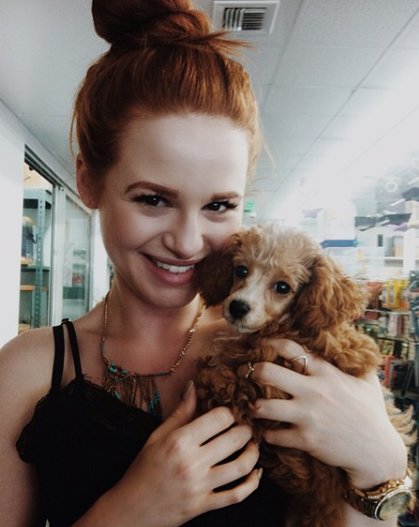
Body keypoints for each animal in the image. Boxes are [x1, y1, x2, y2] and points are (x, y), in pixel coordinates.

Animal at [194, 223, 415, 527]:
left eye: (282, 287)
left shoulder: (272, 380)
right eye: (241, 270)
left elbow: (234, 381)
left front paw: (208, 378)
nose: (238, 307)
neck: (286, 325)